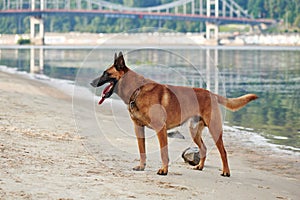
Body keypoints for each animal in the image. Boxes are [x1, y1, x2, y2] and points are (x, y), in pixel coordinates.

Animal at [91, 52, 258, 177]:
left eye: (106, 73)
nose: (91, 83)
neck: (136, 90)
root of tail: (211, 93)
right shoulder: (138, 128)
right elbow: (142, 150)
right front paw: (141, 166)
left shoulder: (161, 129)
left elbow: (163, 153)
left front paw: (164, 170)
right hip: (194, 132)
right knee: (203, 148)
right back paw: (200, 167)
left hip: (214, 129)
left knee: (223, 151)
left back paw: (226, 172)